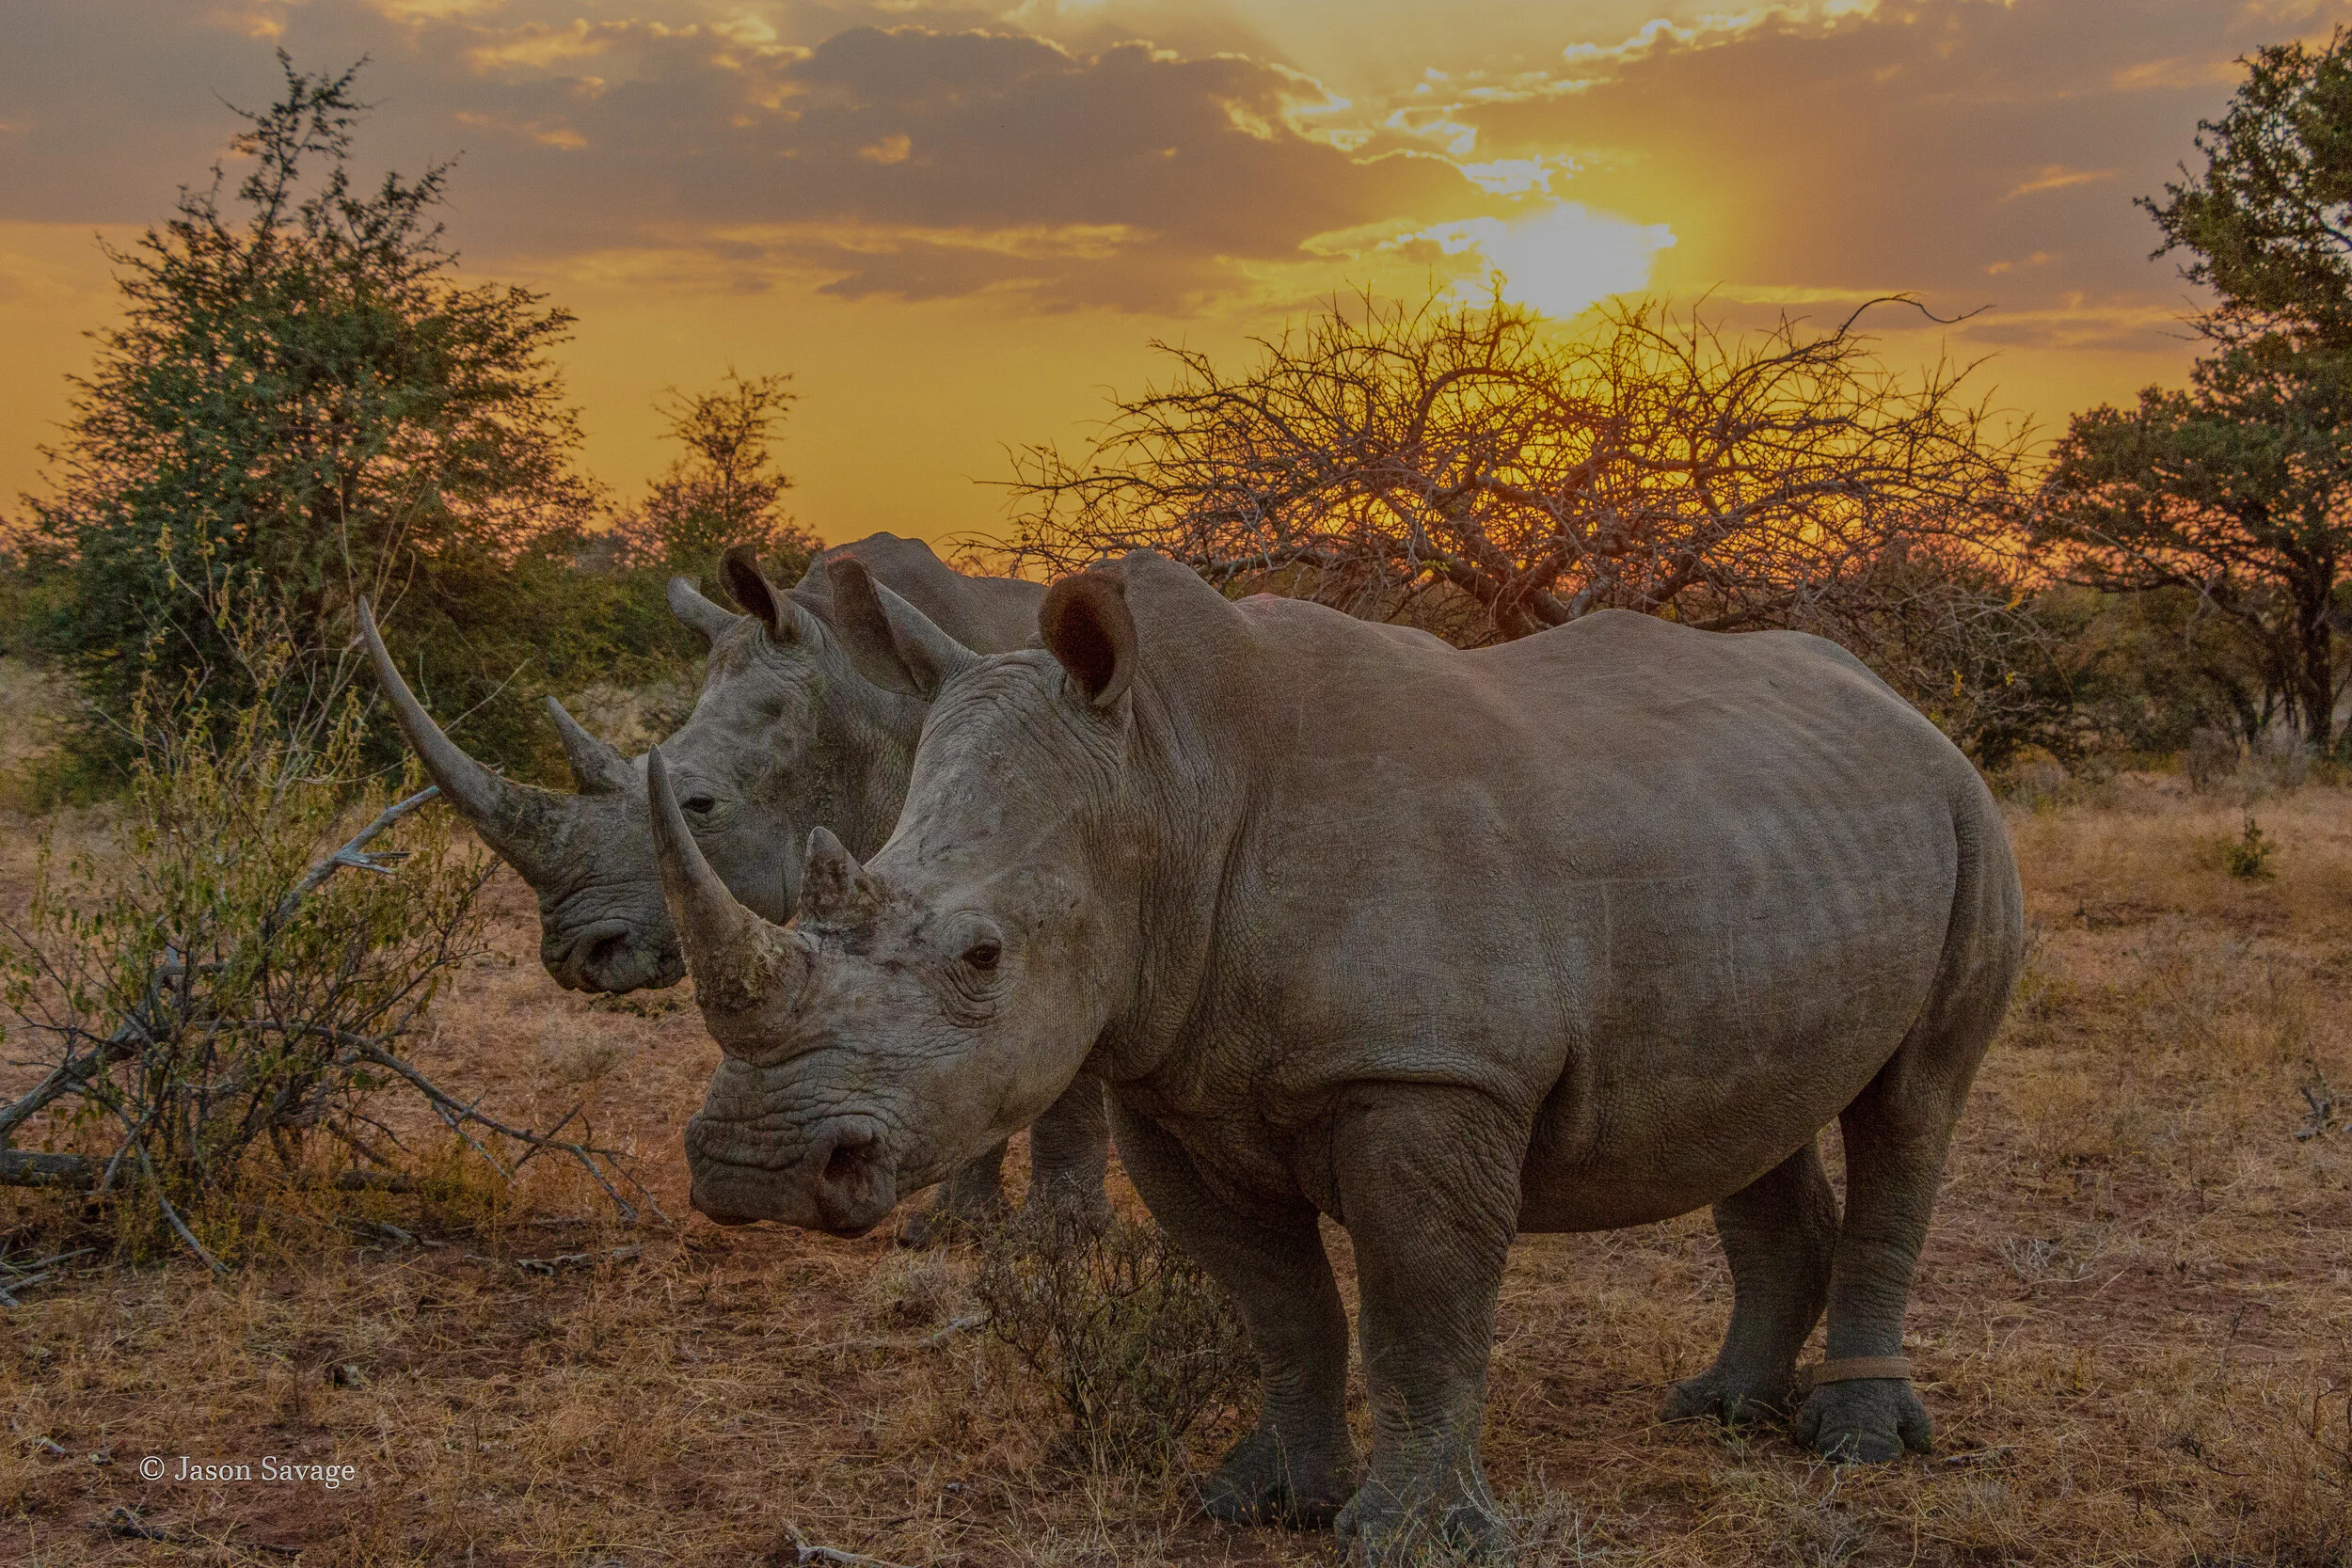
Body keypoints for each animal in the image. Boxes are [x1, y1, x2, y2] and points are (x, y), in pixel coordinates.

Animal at [646, 549, 2024, 1561]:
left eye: (982, 957)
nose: (751, 1169)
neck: (1170, 773)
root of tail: (1900, 701)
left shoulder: (1425, 1069)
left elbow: (1418, 1307)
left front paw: (1411, 1536)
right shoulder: (1169, 1069)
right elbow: (1279, 1300)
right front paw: (1259, 1498)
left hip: (1965, 813)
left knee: (1913, 1106)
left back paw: (1853, 1442)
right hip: (1772, 841)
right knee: (1750, 1108)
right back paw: (1720, 1407)